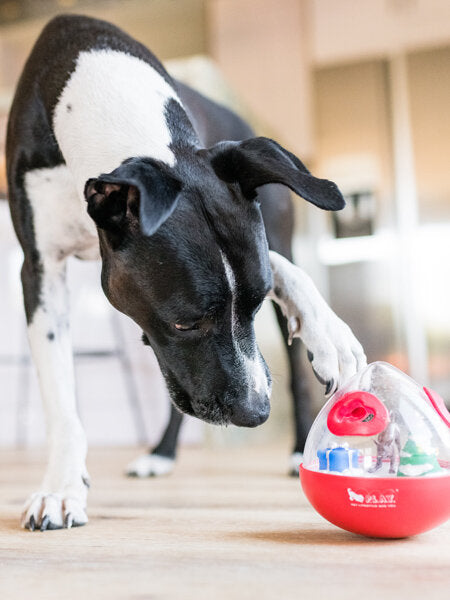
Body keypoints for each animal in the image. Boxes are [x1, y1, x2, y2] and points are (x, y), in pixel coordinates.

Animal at [7, 15, 366, 528]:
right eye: (184, 322)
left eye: (256, 307)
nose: (256, 413)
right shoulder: (41, 270)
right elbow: (61, 399)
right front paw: (61, 487)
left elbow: (284, 271)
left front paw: (330, 333)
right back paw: (162, 453)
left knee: (292, 369)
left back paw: (298, 446)